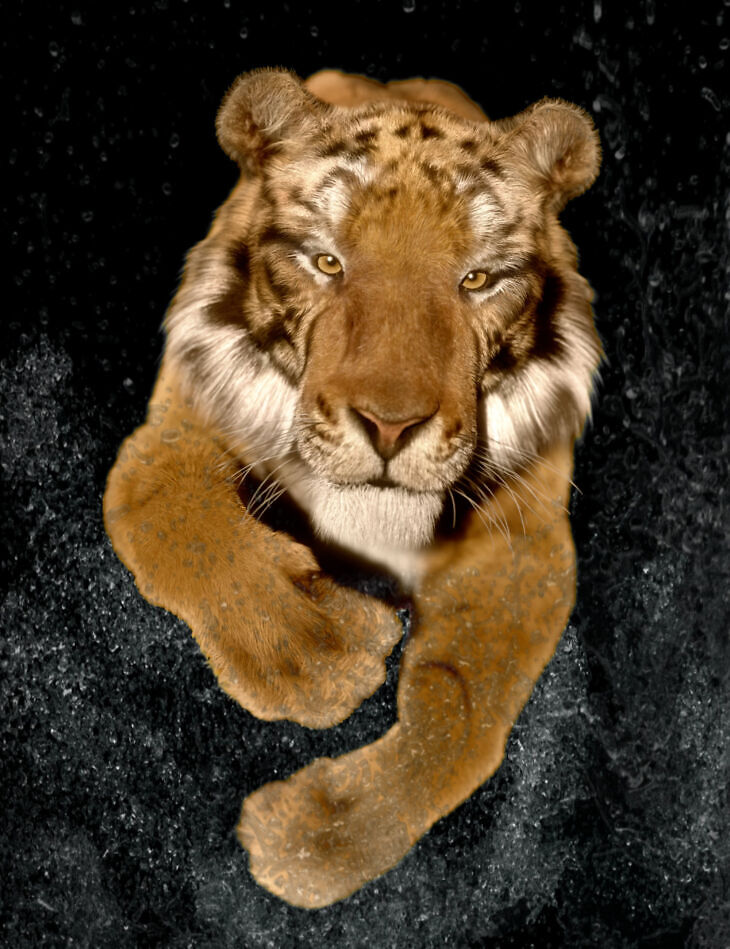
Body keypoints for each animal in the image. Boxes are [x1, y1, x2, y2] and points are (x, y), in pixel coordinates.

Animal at [103, 68, 602, 909]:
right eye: (328, 263)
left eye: (476, 278)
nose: (391, 426)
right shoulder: (177, 423)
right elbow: (166, 509)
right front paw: (315, 654)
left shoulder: (525, 542)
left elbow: (460, 706)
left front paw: (314, 840)